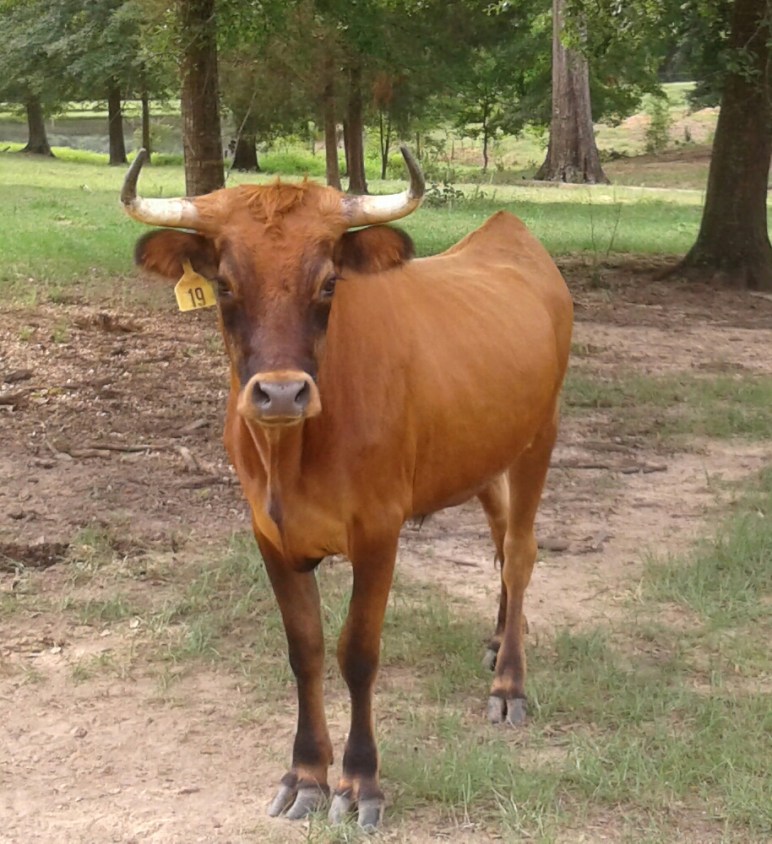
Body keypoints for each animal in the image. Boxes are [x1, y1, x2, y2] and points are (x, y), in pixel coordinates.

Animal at [121, 147, 573, 830]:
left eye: (329, 282)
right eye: (224, 284)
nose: (281, 393)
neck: (293, 456)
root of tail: (509, 233)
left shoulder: (380, 528)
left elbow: (357, 652)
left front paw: (361, 782)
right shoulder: (268, 532)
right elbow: (304, 649)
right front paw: (306, 773)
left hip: (539, 437)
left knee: (520, 552)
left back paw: (509, 685)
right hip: (482, 452)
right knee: (500, 540)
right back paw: (499, 641)